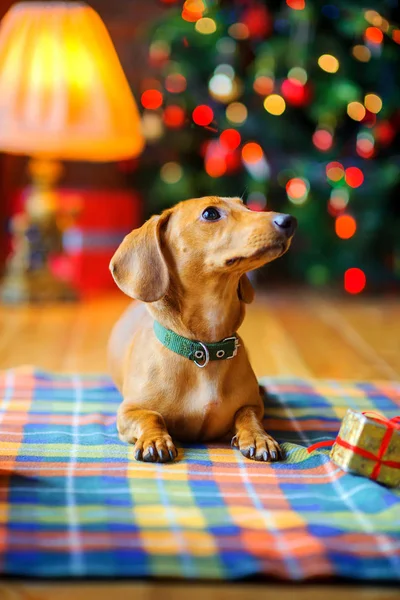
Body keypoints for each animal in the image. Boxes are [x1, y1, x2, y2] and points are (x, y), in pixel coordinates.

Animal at [108, 197, 296, 464]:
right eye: (210, 213)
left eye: (247, 206)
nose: (289, 220)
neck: (204, 349)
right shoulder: (128, 411)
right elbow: (151, 416)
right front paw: (155, 440)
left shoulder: (252, 406)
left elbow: (248, 415)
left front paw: (258, 437)